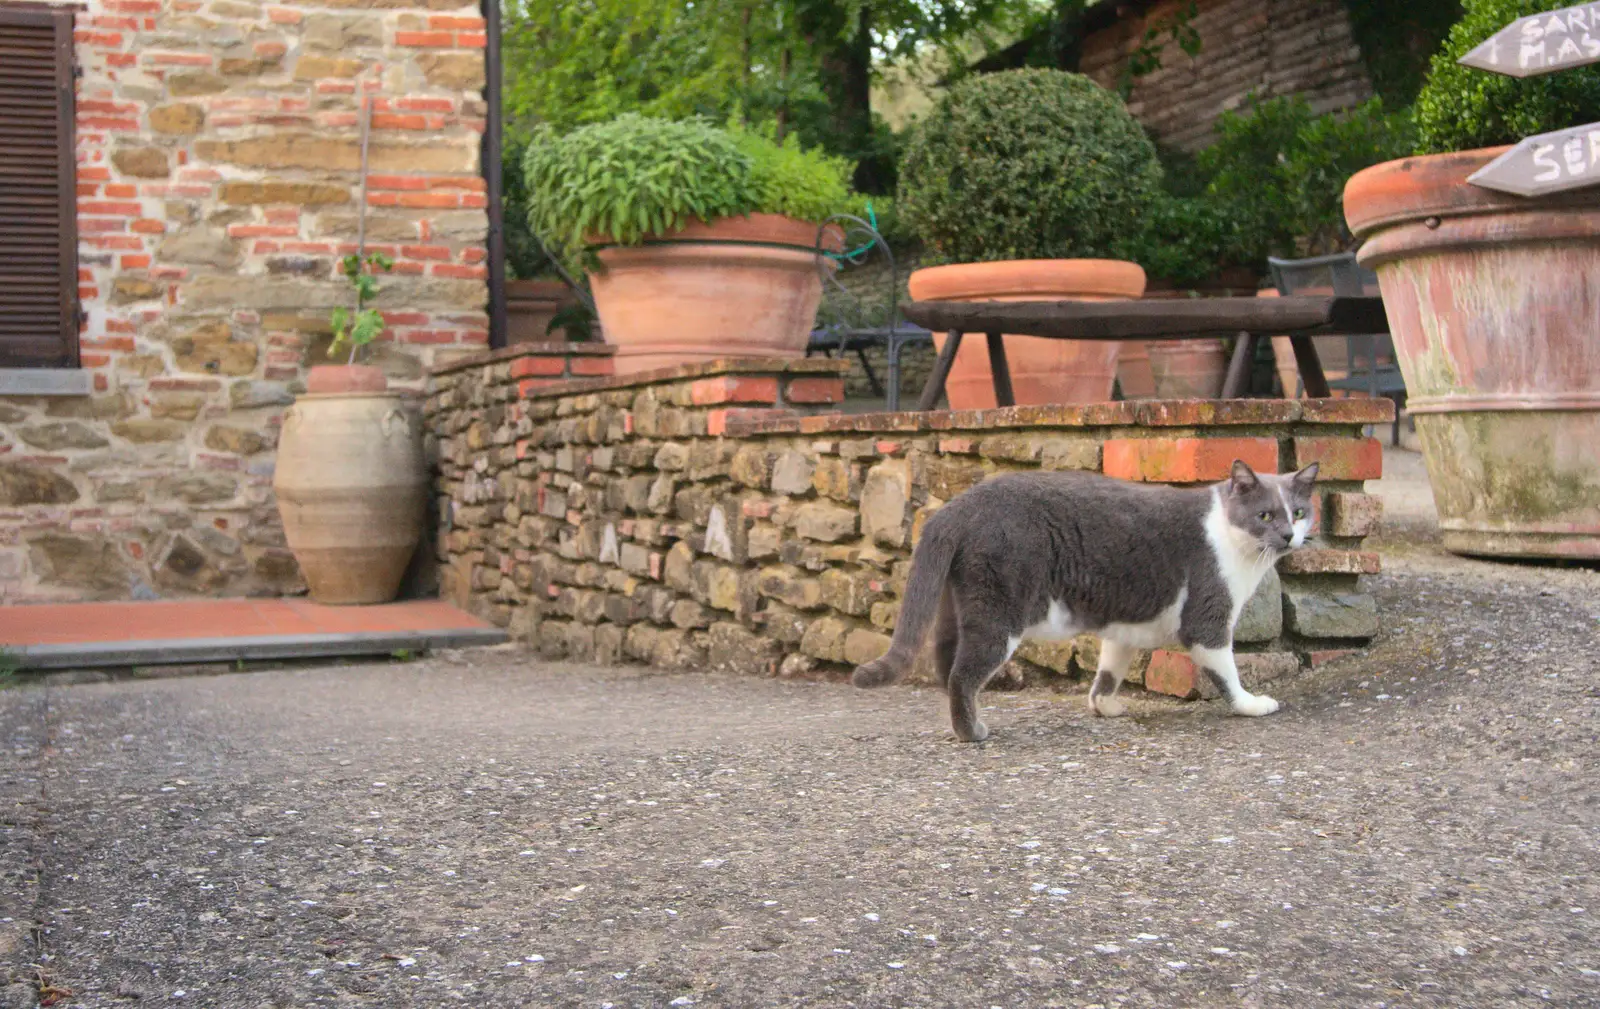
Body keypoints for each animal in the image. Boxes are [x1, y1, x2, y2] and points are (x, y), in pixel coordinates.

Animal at [857, 463, 1318, 741]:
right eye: (1264, 515)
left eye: (1298, 512)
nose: (1288, 536)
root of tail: (958, 505)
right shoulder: (1208, 619)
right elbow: (1226, 671)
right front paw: (1251, 705)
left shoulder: (1126, 624)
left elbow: (1110, 667)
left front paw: (1105, 705)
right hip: (999, 612)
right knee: (962, 675)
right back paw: (973, 732)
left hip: (958, 602)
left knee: (944, 662)